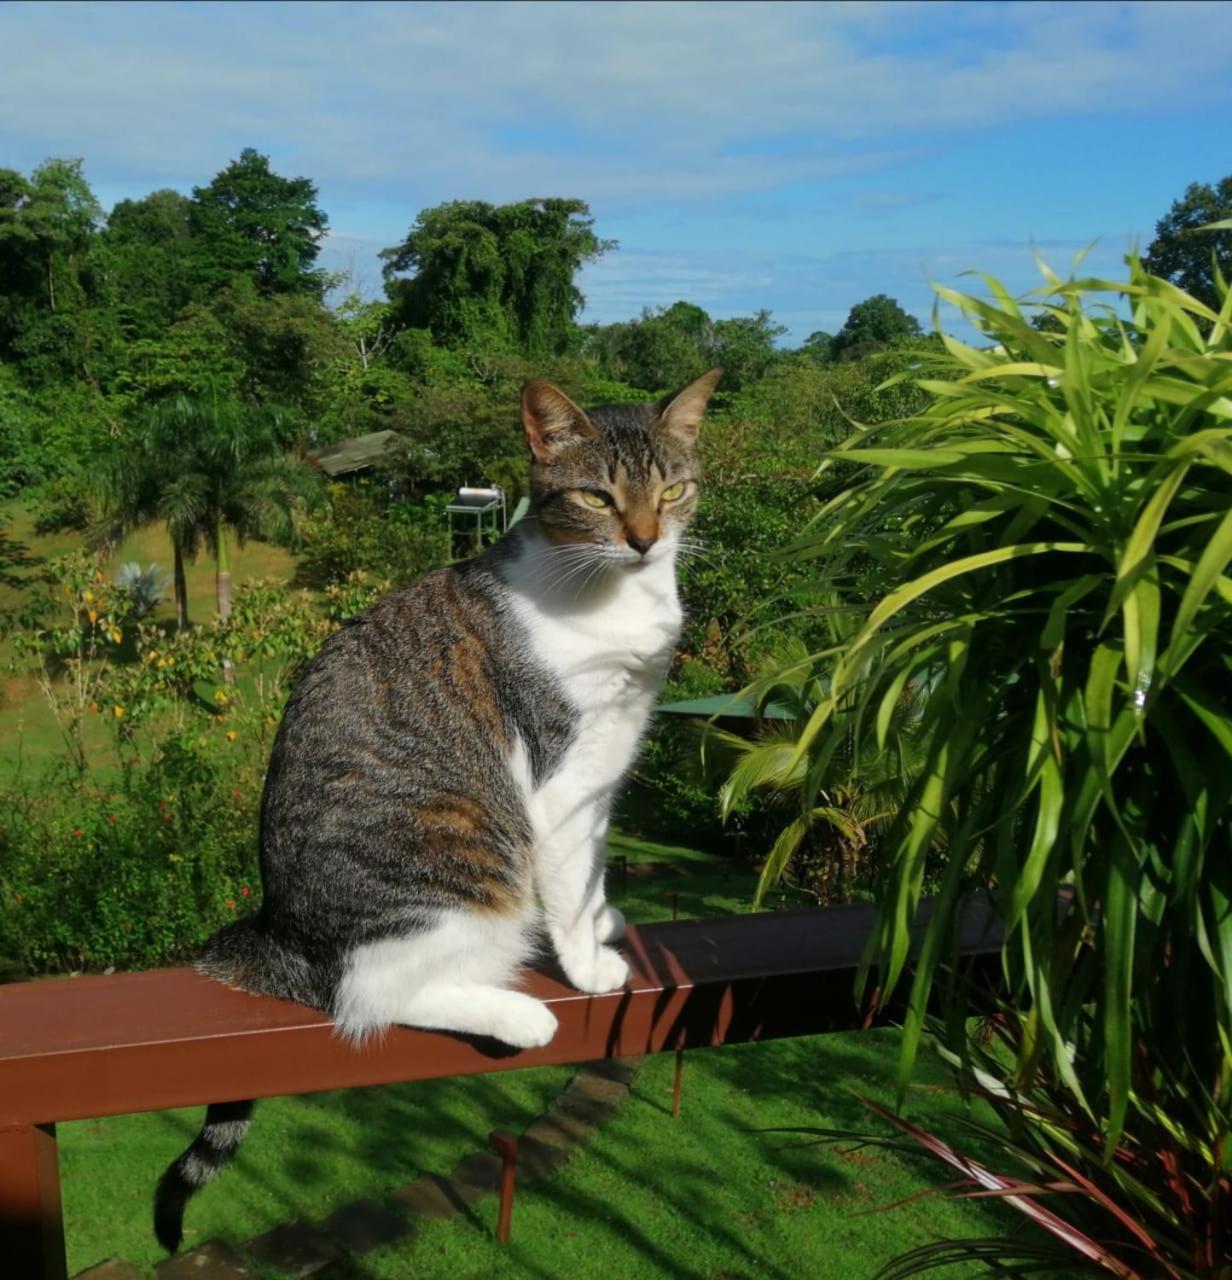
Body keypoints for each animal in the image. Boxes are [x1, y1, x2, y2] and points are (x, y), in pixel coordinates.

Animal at [151, 366, 722, 1244]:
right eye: (597, 496)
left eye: (673, 488)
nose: (645, 539)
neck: (606, 590)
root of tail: (278, 931)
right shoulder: (560, 775)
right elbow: (567, 875)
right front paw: (587, 967)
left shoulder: (609, 757)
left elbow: (592, 866)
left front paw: (601, 922)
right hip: (460, 860)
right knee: (371, 995)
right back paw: (519, 1015)